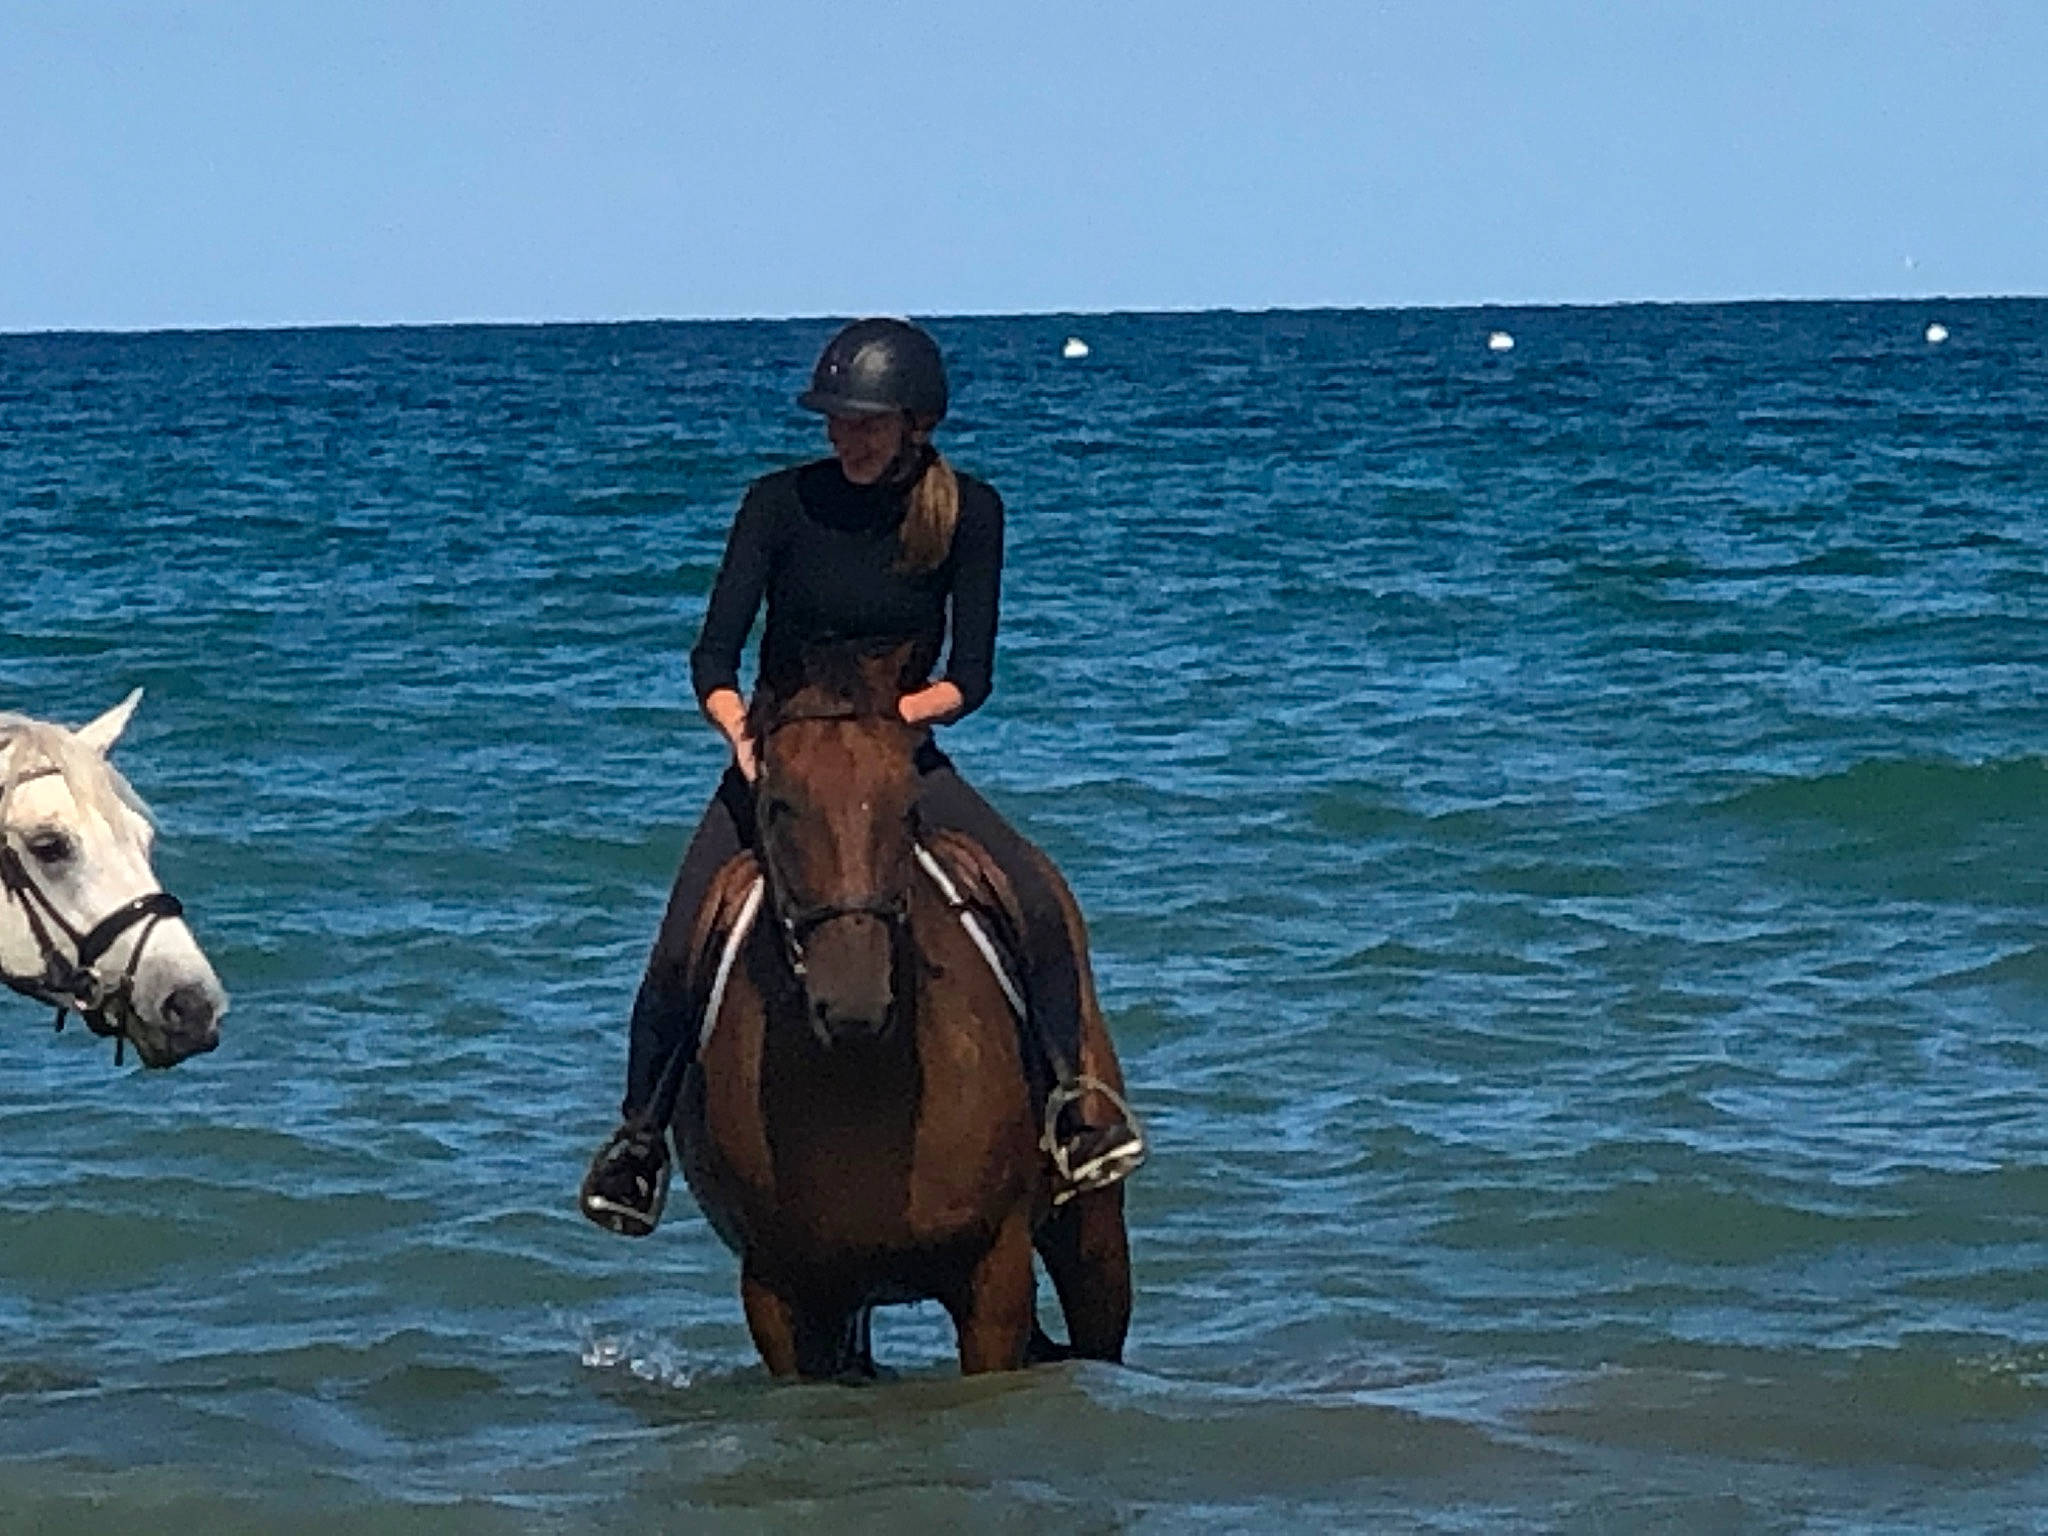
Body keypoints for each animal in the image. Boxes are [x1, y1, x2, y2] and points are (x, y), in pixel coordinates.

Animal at [674, 648, 1135, 1379]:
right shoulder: (779, 1295)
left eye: (907, 807)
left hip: (1093, 1241)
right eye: (778, 806)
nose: (853, 1001)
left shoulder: (994, 1276)